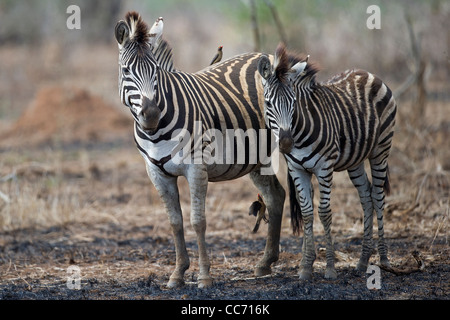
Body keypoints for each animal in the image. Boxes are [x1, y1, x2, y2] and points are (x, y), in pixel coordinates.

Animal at [115, 11, 284, 288]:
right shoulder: (156, 172)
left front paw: (204, 276)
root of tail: (267, 55)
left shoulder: (196, 167)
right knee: (275, 196)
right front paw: (177, 273)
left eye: (156, 71)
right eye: (126, 70)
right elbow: (175, 222)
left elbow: (198, 221)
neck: (156, 132)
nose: (150, 115)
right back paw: (265, 262)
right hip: (256, 156)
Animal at [256, 44, 398, 280]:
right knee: (366, 197)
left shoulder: (324, 168)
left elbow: (324, 212)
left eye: (293, 102)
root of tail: (367, 73)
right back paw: (362, 261)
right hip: (355, 160)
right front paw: (305, 268)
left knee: (378, 197)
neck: (299, 132)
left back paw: (384, 259)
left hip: (381, 149)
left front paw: (330, 268)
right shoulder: (297, 169)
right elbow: (306, 212)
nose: (286, 143)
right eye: (268, 103)